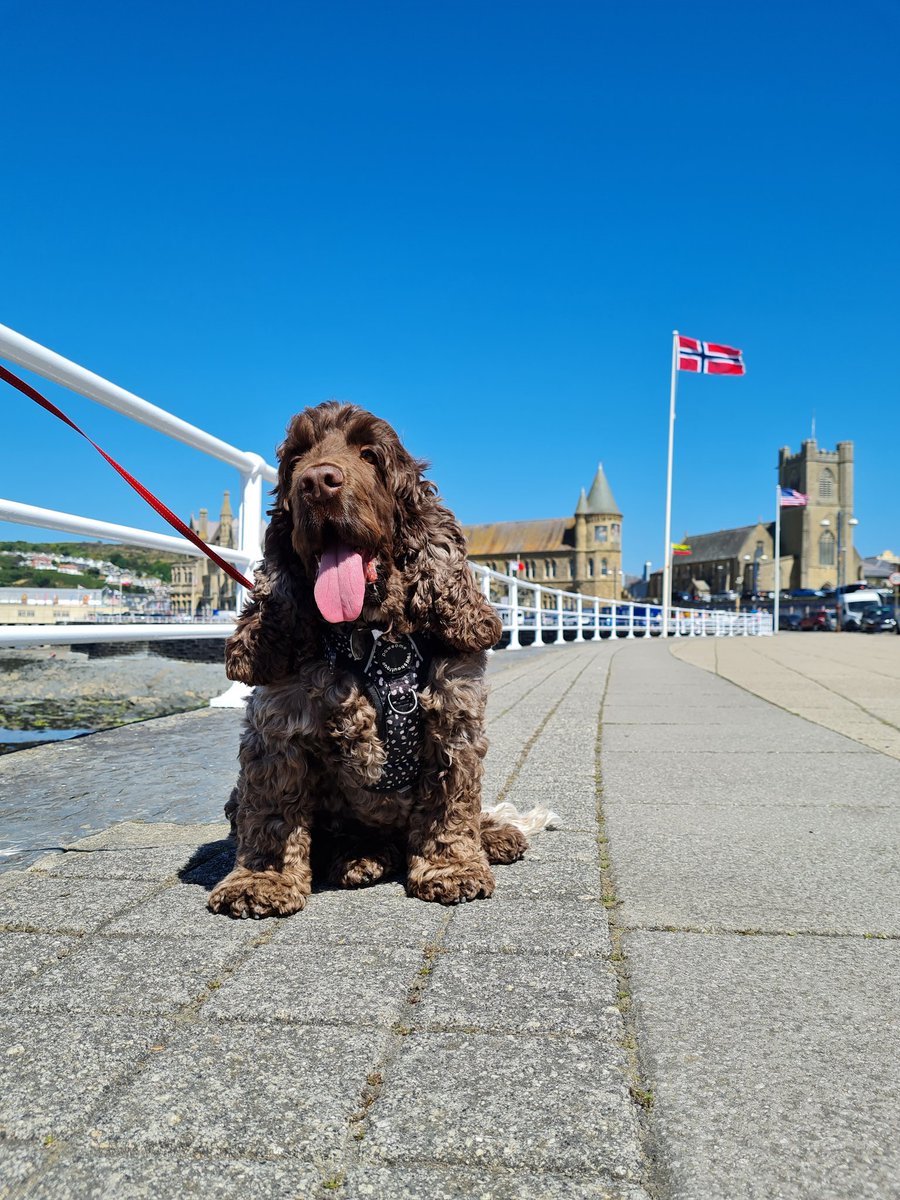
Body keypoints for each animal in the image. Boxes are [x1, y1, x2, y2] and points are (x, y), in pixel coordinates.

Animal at [208, 403, 528, 916]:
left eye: (370, 454)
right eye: (296, 458)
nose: (317, 482)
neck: (376, 640)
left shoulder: (454, 717)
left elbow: (452, 805)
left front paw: (452, 867)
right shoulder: (277, 730)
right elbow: (272, 812)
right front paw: (261, 881)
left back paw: (494, 835)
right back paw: (361, 858)